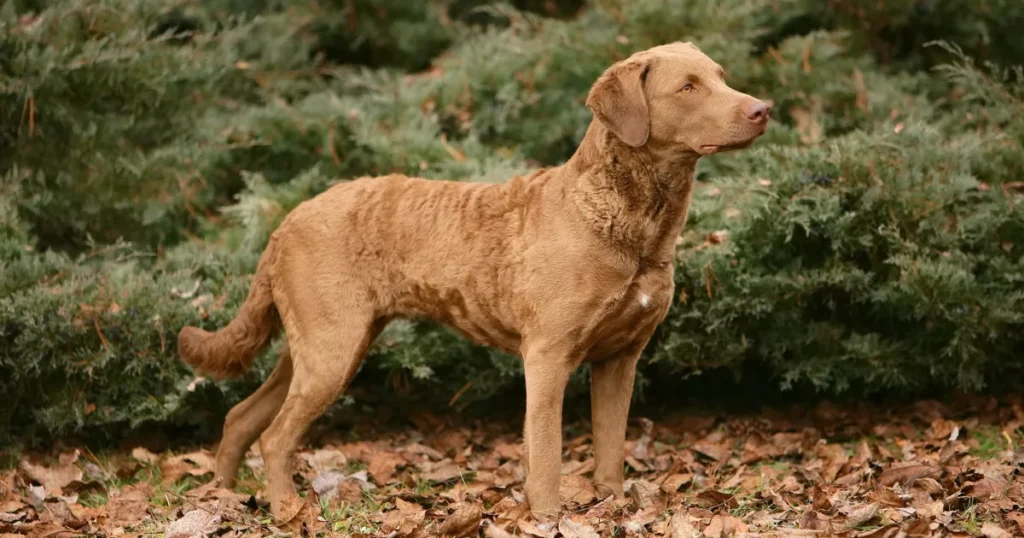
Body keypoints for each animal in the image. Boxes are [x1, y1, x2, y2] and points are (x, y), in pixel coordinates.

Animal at [178, 40, 770, 520]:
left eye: (721, 75)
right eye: (687, 87)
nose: (762, 108)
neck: (628, 223)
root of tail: (286, 221)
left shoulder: (620, 357)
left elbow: (610, 447)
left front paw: (613, 506)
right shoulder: (548, 356)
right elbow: (547, 452)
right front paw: (547, 517)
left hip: (318, 345)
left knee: (241, 417)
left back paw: (223, 498)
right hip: (331, 349)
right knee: (274, 436)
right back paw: (286, 510)